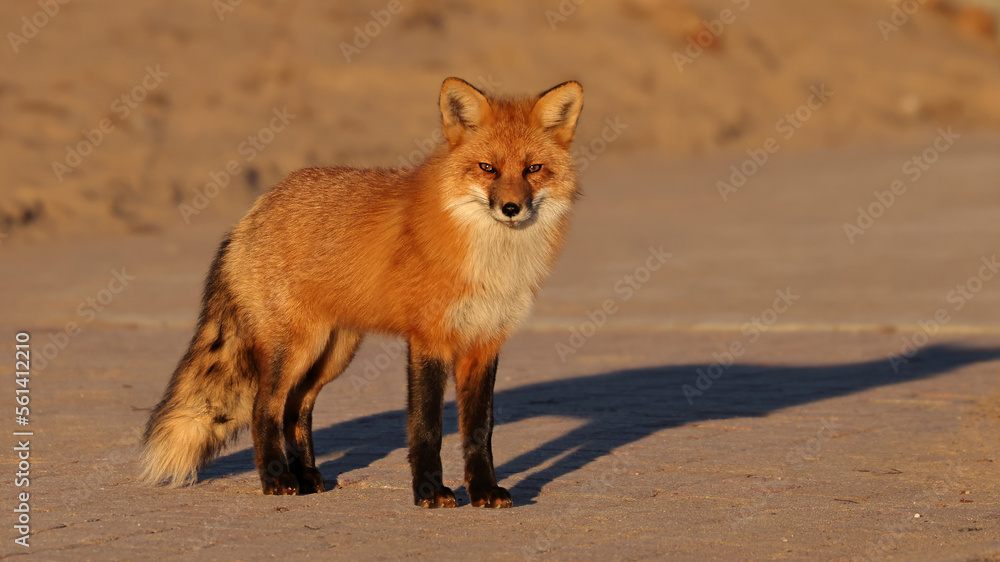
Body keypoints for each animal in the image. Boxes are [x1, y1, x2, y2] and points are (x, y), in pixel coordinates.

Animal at [140, 77, 584, 508]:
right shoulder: (429, 339)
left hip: (333, 353)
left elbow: (480, 431)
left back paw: (306, 476)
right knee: (263, 407)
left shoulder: (485, 342)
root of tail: (255, 209)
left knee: (296, 409)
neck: (493, 260)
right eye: (487, 168)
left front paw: (484, 492)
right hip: (297, 347)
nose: (511, 208)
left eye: (533, 169)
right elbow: (427, 427)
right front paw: (429, 493)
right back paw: (276, 479)